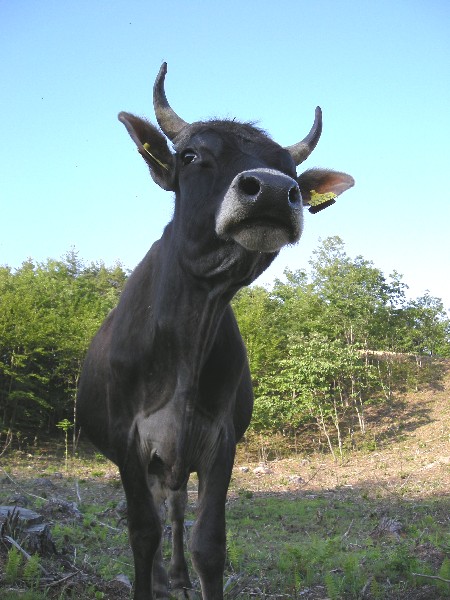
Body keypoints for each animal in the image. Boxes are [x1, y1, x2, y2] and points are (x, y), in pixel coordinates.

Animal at [75, 62, 354, 600]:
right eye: (191, 156)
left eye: (291, 174)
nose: (271, 190)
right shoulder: (127, 442)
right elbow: (141, 531)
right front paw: (148, 579)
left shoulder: (220, 439)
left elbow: (209, 541)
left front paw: (191, 570)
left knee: (176, 507)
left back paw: (177, 575)